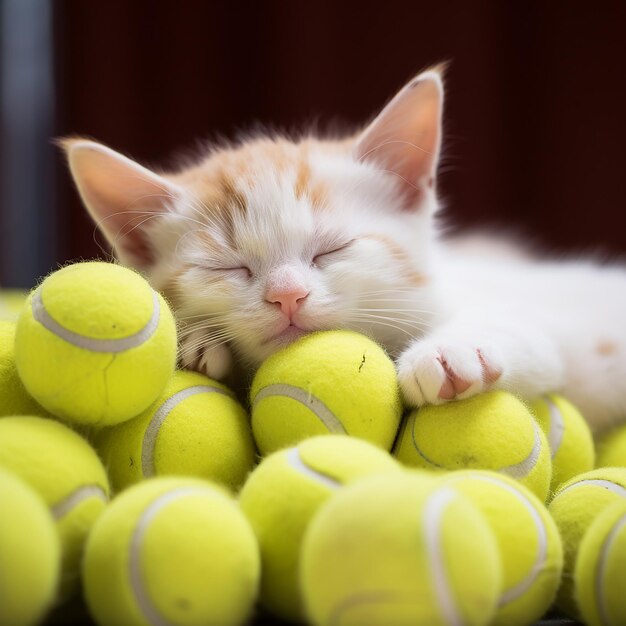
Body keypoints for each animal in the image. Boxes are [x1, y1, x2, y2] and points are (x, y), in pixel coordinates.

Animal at [61, 66, 624, 432]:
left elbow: (528, 337)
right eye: (228, 267)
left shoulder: (536, 321)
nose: (287, 295)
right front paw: (194, 344)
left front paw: (447, 353)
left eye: (331, 249)